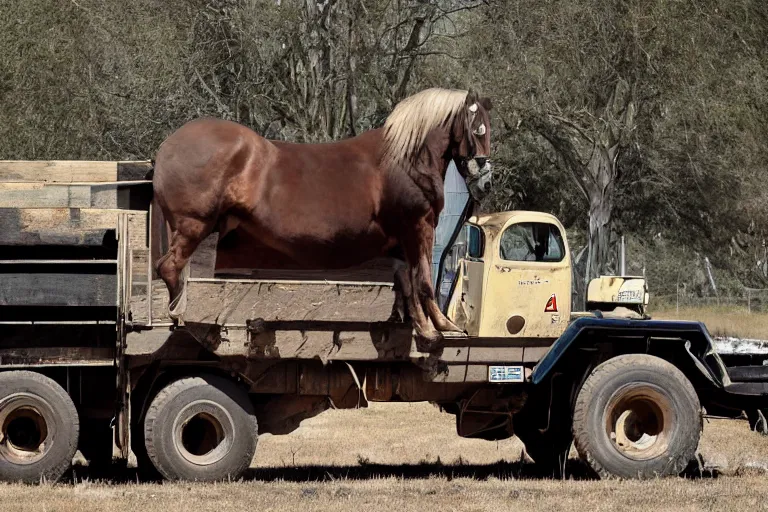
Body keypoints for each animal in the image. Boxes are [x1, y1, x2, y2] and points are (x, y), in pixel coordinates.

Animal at [153, 88, 496, 342]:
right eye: (478, 129)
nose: (486, 183)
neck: (406, 159)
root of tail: (168, 146)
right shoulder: (417, 228)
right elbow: (423, 280)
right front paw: (438, 328)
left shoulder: (403, 242)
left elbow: (407, 284)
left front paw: (426, 326)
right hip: (193, 226)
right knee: (169, 267)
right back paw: (178, 317)